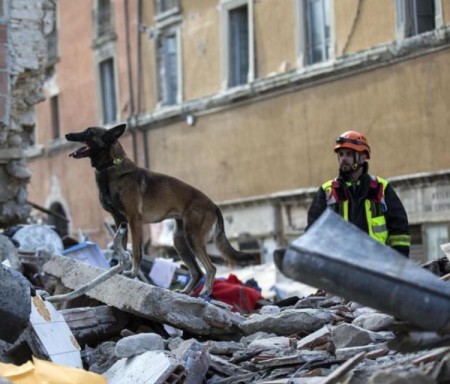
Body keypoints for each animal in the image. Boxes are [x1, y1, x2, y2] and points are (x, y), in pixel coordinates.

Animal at [65, 124, 258, 296]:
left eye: (89, 132)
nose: (67, 135)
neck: (111, 166)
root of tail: (213, 205)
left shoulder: (134, 220)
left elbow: (136, 251)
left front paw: (133, 273)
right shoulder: (119, 221)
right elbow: (121, 248)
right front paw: (119, 269)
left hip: (192, 237)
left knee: (210, 267)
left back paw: (205, 291)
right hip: (179, 240)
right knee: (197, 271)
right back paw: (186, 292)